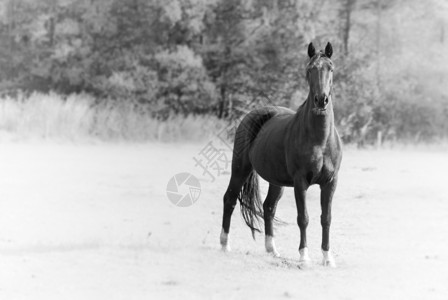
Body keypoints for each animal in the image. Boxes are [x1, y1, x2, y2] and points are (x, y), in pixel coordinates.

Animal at [220, 41, 344, 268]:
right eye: (310, 69)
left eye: (331, 68)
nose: (321, 100)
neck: (320, 140)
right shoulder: (300, 182)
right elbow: (303, 218)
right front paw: (304, 256)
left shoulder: (330, 182)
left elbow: (326, 218)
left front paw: (327, 257)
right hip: (240, 169)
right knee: (230, 199)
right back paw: (224, 245)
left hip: (276, 181)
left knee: (268, 207)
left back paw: (272, 250)